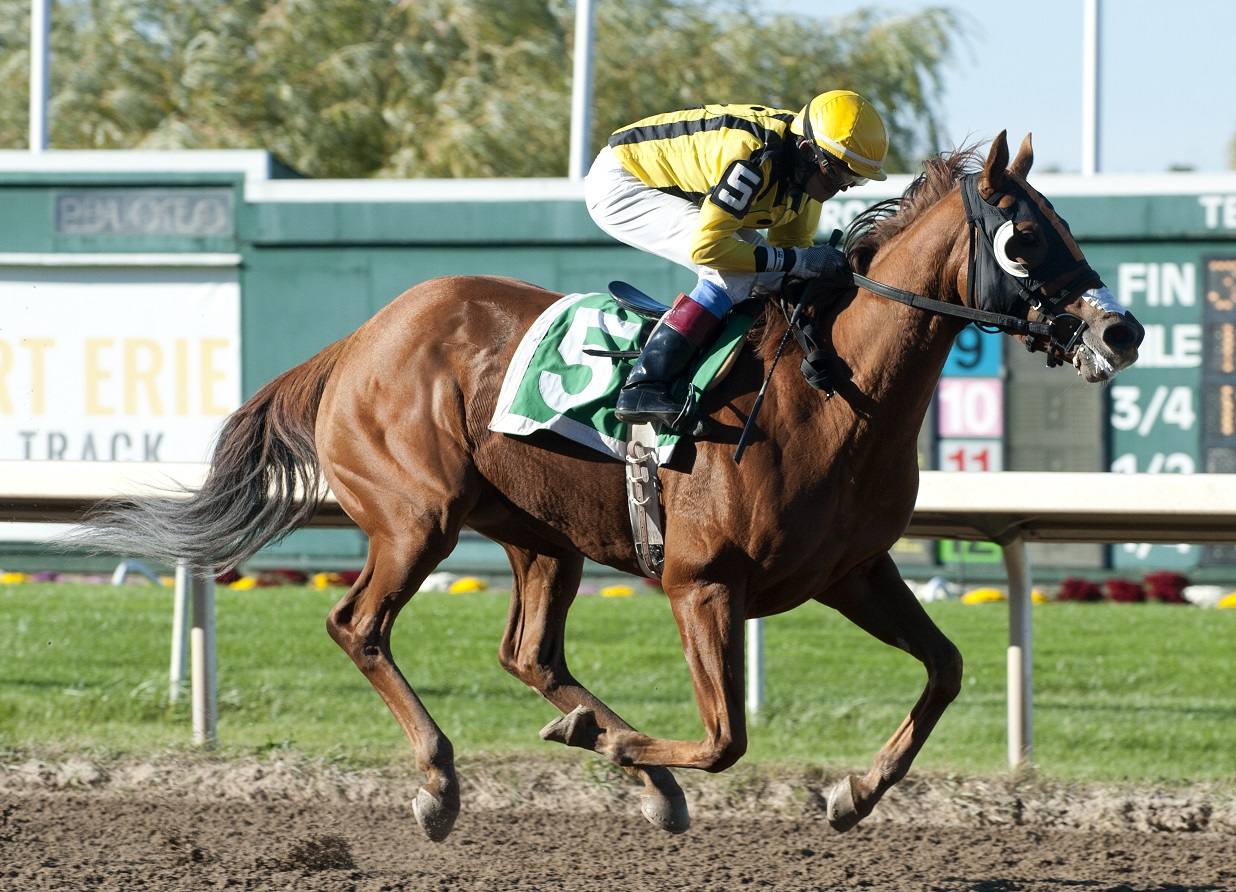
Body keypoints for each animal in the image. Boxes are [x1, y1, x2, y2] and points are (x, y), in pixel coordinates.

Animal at [82, 132, 1142, 835]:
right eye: (1023, 239)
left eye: (1064, 225)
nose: (1121, 328)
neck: (828, 392)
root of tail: (362, 335)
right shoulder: (699, 582)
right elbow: (726, 737)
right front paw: (630, 749)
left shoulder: (851, 571)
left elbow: (948, 669)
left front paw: (852, 793)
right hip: (417, 517)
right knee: (360, 625)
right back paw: (446, 780)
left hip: (539, 534)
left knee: (527, 653)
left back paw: (614, 753)